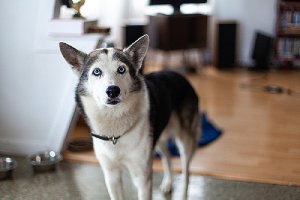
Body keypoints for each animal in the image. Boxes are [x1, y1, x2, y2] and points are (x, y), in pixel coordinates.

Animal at [59, 35, 199, 199]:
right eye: (97, 72)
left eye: (121, 69)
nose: (113, 91)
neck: (114, 127)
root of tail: (180, 75)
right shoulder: (111, 175)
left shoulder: (142, 176)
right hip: (157, 137)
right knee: (168, 157)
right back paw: (168, 184)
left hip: (184, 141)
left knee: (186, 170)